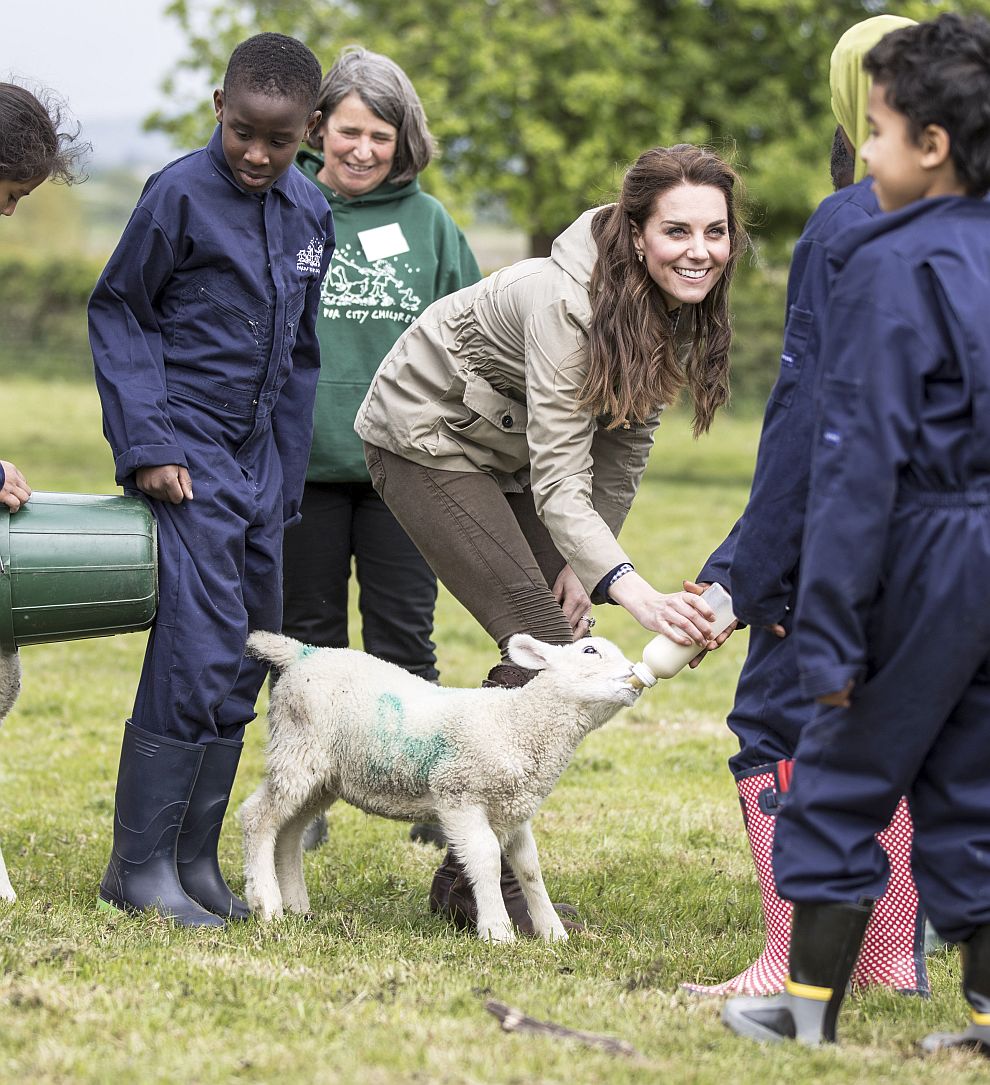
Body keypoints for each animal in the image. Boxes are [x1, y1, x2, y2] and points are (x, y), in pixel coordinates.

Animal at [239, 633, 642, 946]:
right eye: (590, 651)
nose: (635, 675)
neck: (516, 724)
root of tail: (302, 652)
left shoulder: (513, 808)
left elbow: (529, 867)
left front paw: (553, 932)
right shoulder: (459, 795)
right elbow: (486, 859)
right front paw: (497, 931)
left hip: (326, 776)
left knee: (288, 831)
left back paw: (296, 904)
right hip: (298, 749)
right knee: (256, 817)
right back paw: (267, 904)